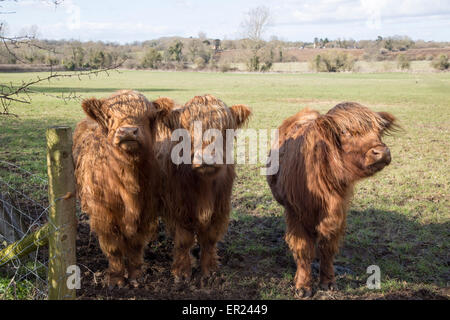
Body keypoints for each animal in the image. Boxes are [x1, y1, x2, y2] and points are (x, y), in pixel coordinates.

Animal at [73, 90, 175, 288]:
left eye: (149, 116)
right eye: (110, 116)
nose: (128, 131)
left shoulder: (146, 211)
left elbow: (136, 244)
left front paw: (135, 276)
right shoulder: (103, 213)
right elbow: (113, 247)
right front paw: (116, 278)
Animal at [155, 94, 251, 280]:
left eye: (223, 129)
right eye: (187, 131)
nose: (207, 157)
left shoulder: (220, 208)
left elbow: (209, 239)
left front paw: (210, 269)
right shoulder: (179, 208)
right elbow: (184, 240)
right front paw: (182, 272)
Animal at [268, 102, 398, 298]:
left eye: (379, 130)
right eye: (344, 131)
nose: (382, 152)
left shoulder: (338, 213)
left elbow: (327, 247)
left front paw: (328, 282)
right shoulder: (294, 212)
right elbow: (302, 249)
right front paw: (303, 286)